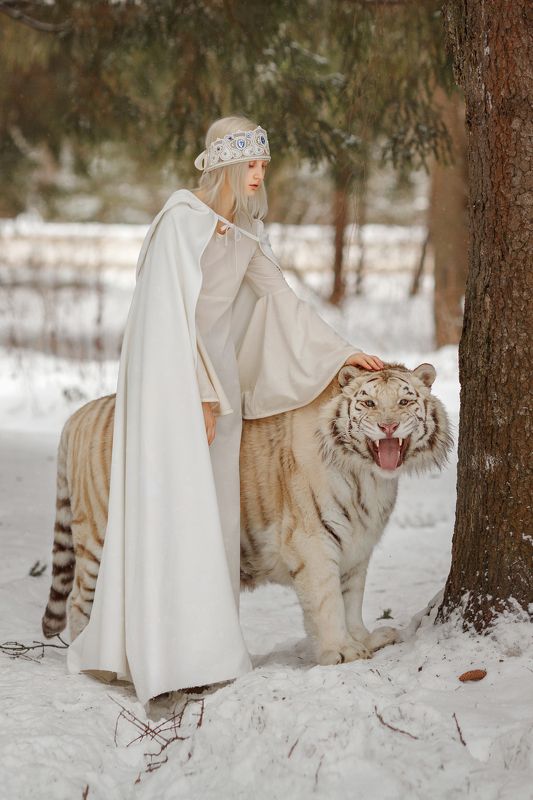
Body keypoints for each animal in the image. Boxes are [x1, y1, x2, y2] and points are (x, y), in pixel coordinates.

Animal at [42, 361, 452, 666]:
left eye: (404, 402)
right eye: (368, 404)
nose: (388, 426)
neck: (368, 477)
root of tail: (78, 414)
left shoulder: (357, 545)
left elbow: (351, 599)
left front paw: (364, 639)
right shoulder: (313, 541)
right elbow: (328, 601)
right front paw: (341, 651)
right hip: (98, 535)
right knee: (79, 599)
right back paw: (84, 660)